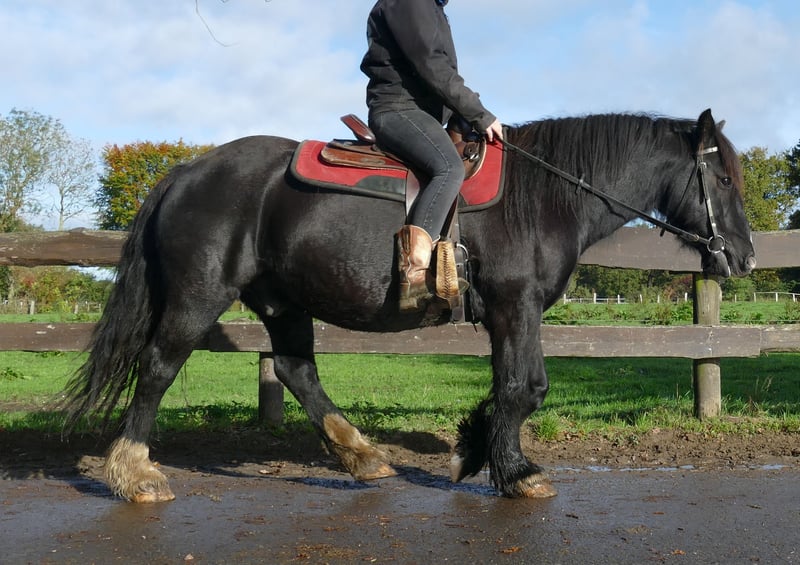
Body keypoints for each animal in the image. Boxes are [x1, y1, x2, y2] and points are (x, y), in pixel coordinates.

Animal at [64, 109, 756, 502]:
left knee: (295, 370)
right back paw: (135, 473)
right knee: (159, 366)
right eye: (722, 177)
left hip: (282, 300)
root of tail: (185, 172)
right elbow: (526, 388)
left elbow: (509, 386)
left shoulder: (506, 314)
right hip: (200, 293)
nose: (745, 258)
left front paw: (476, 447)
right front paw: (515, 471)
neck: (544, 193)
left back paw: (363, 456)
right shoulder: (518, 306)